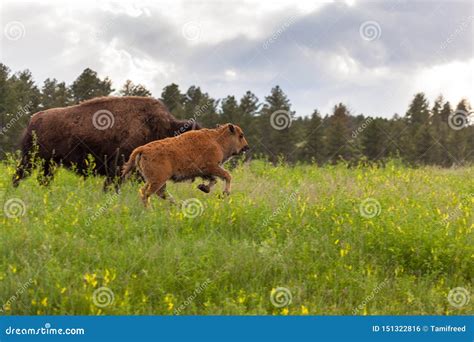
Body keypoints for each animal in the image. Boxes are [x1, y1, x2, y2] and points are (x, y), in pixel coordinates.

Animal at [11, 96, 200, 191]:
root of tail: (33, 119)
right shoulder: (118, 166)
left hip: (48, 163)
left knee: (42, 179)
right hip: (32, 160)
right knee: (19, 176)